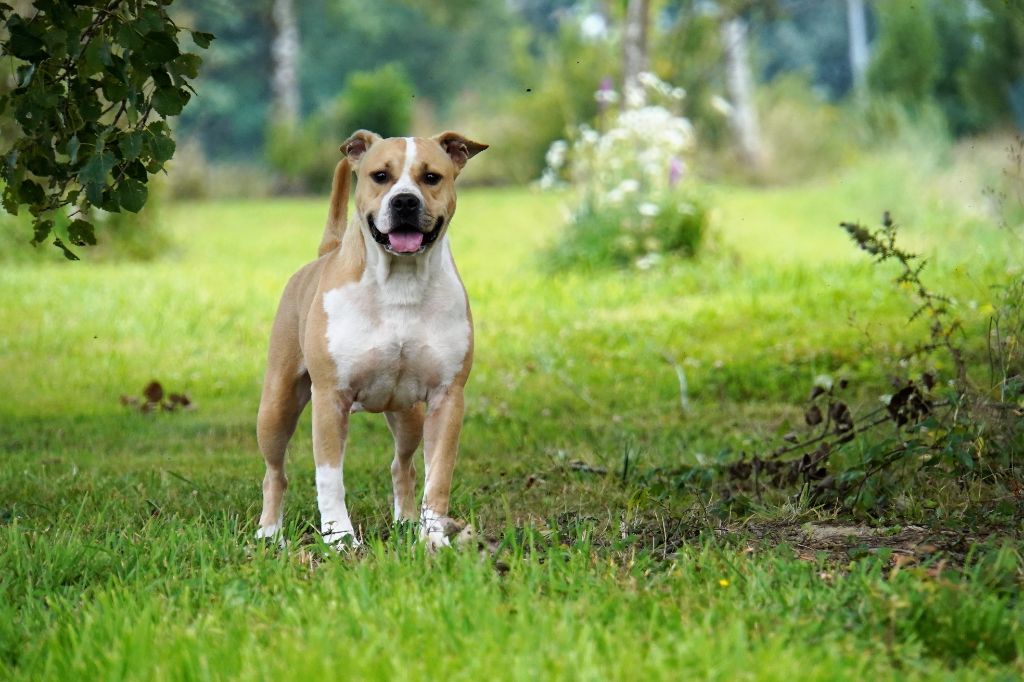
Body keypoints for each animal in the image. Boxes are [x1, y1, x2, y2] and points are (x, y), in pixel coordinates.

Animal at [251, 130, 483, 548]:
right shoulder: (330, 397)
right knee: (275, 472)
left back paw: (405, 520)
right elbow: (329, 477)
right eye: (380, 176)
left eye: (431, 177)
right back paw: (270, 531)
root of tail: (323, 256)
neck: (401, 281)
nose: (405, 200)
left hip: (408, 415)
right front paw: (339, 537)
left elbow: (438, 475)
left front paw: (433, 537)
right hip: (276, 408)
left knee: (402, 465)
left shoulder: (447, 397)